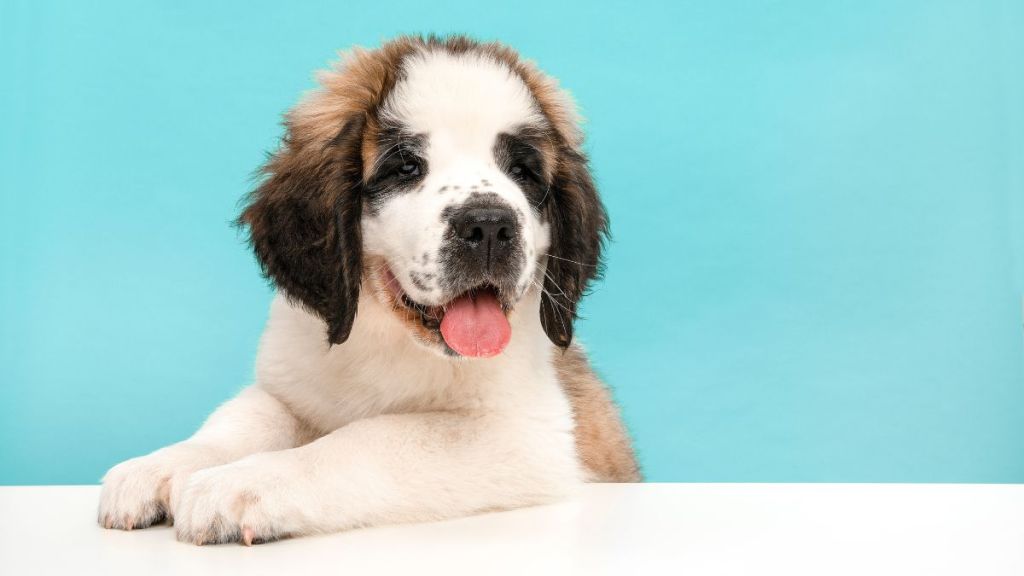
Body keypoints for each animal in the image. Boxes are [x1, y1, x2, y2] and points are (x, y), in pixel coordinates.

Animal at [97, 33, 638, 545]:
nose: (489, 226)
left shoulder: (527, 434)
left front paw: (243, 484)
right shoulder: (289, 384)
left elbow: (368, 438)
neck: (388, 335)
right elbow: (246, 416)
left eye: (522, 172)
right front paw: (166, 465)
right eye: (406, 168)